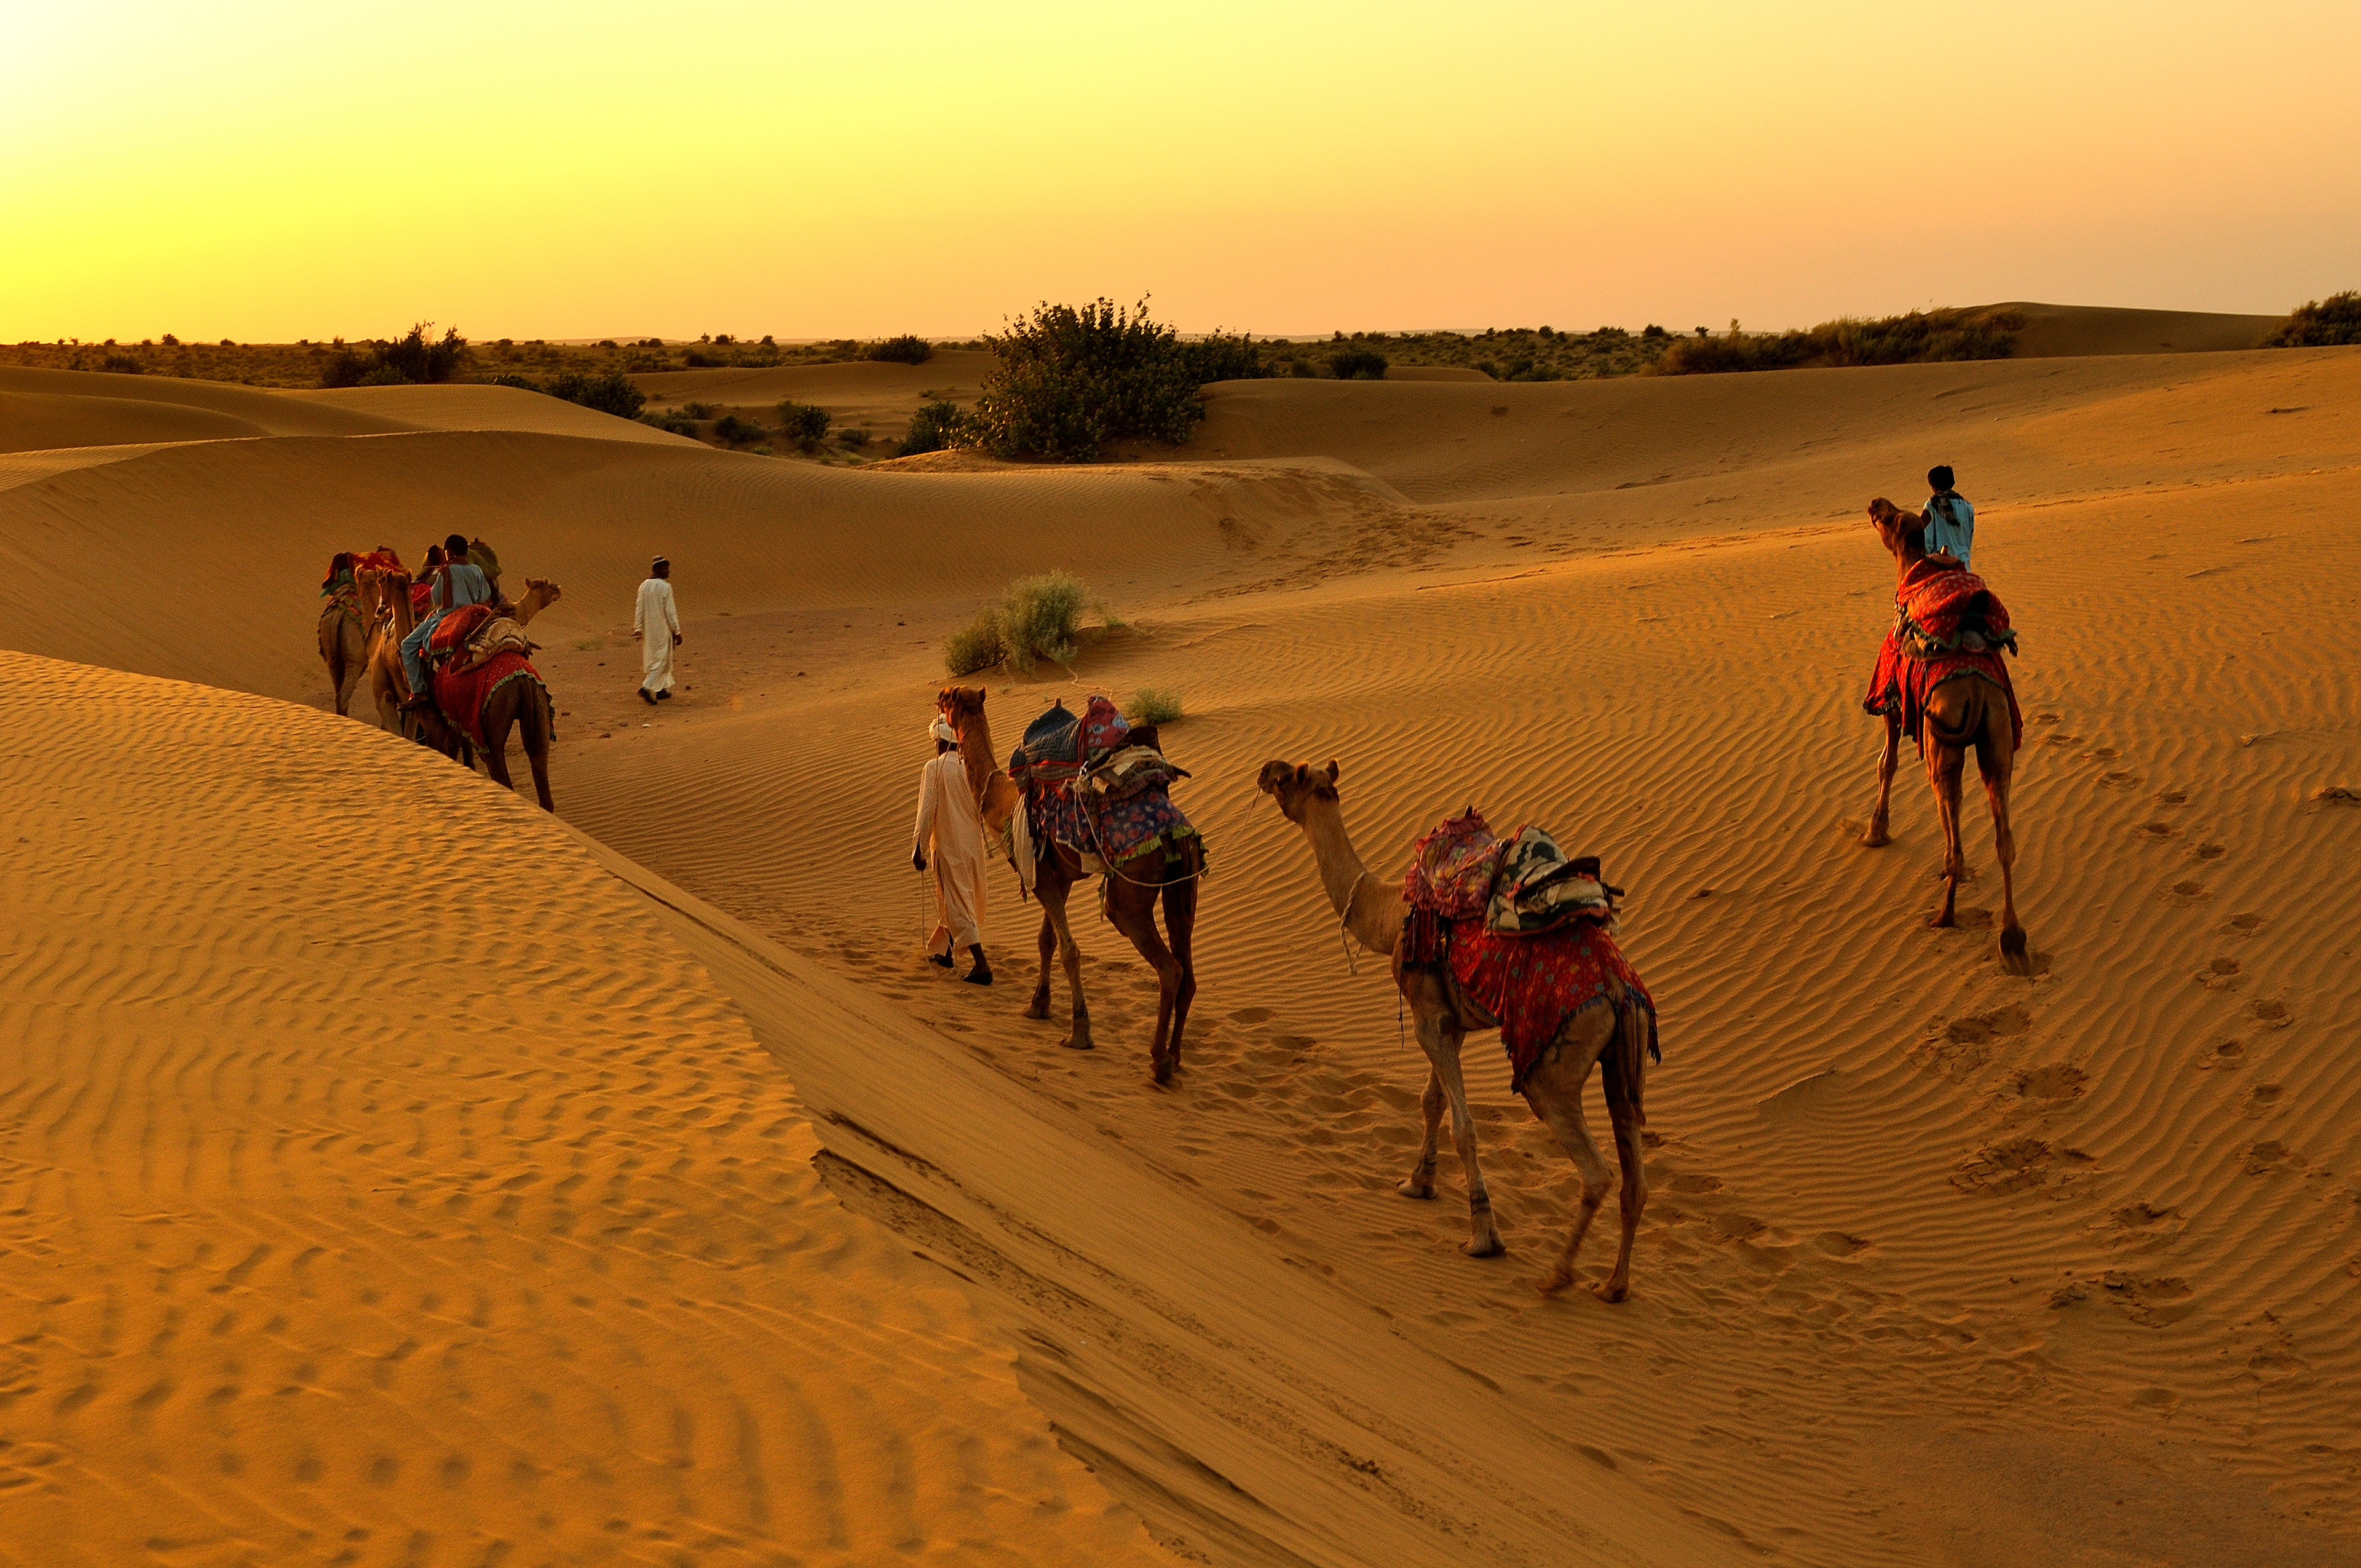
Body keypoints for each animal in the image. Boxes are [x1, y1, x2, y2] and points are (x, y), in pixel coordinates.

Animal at [938, 685, 1200, 1084]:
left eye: (950, 697)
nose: (938, 698)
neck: (1003, 800)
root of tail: (1175, 830)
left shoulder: (1040, 876)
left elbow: (1069, 950)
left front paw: (1079, 1032)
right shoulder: (1057, 876)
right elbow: (1046, 941)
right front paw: (1038, 1005)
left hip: (1128, 896)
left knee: (1168, 966)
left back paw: (1158, 1062)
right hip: (1182, 888)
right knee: (1187, 968)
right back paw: (1175, 1057)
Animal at [1256, 760, 1654, 1302]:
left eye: (1289, 778)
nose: (1264, 770)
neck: (1389, 917)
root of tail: (1618, 987)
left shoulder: (1427, 1015)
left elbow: (1463, 1126)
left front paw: (1483, 1237)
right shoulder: (1451, 1020)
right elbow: (1433, 1102)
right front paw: (1417, 1184)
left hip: (1553, 1068)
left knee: (1595, 1170)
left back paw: (1556, 1275)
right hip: (1624, 1057)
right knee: (1634, 1171)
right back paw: (1613, 1285)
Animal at [1860, 498, 2028, 970]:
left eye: (1890, 518)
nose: (1875, 503)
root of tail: (1976, 692)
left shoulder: (1889, 699)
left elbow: (1886, 764)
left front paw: (1875, 832)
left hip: (1943, 749)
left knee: (1954, 839)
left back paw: (1946, 915)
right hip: (1997, 742)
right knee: (2004, 839)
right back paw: (2011, 938)